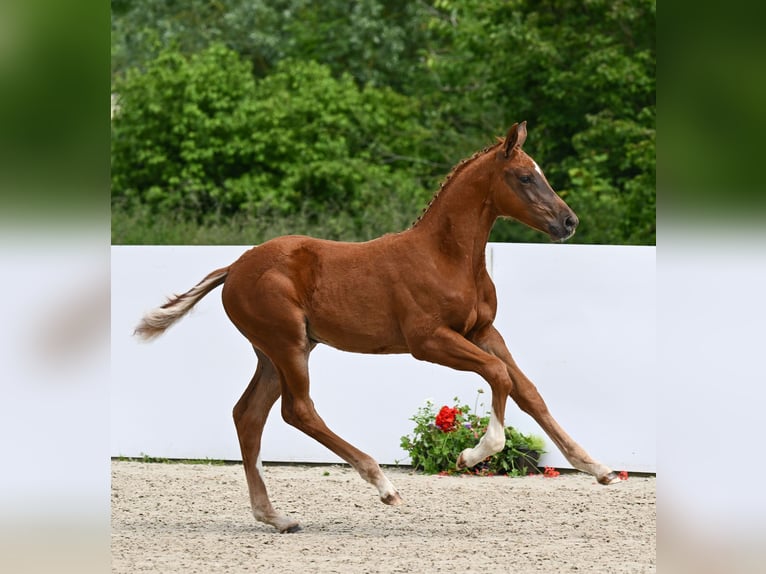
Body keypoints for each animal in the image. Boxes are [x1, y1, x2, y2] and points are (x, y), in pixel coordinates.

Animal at [134, 122, 624, 536]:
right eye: (524, 177)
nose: (569, 222)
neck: (446, 257)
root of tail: (234, 268)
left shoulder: (484, 332)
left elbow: (528, 391)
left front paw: (597, 468)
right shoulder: (429, 341)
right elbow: (498, 376)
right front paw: (473, 453)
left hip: (276, 352)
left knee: (249, 415)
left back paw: (275, 517)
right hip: (287, 344)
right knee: (298, 410)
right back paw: (383, 485)